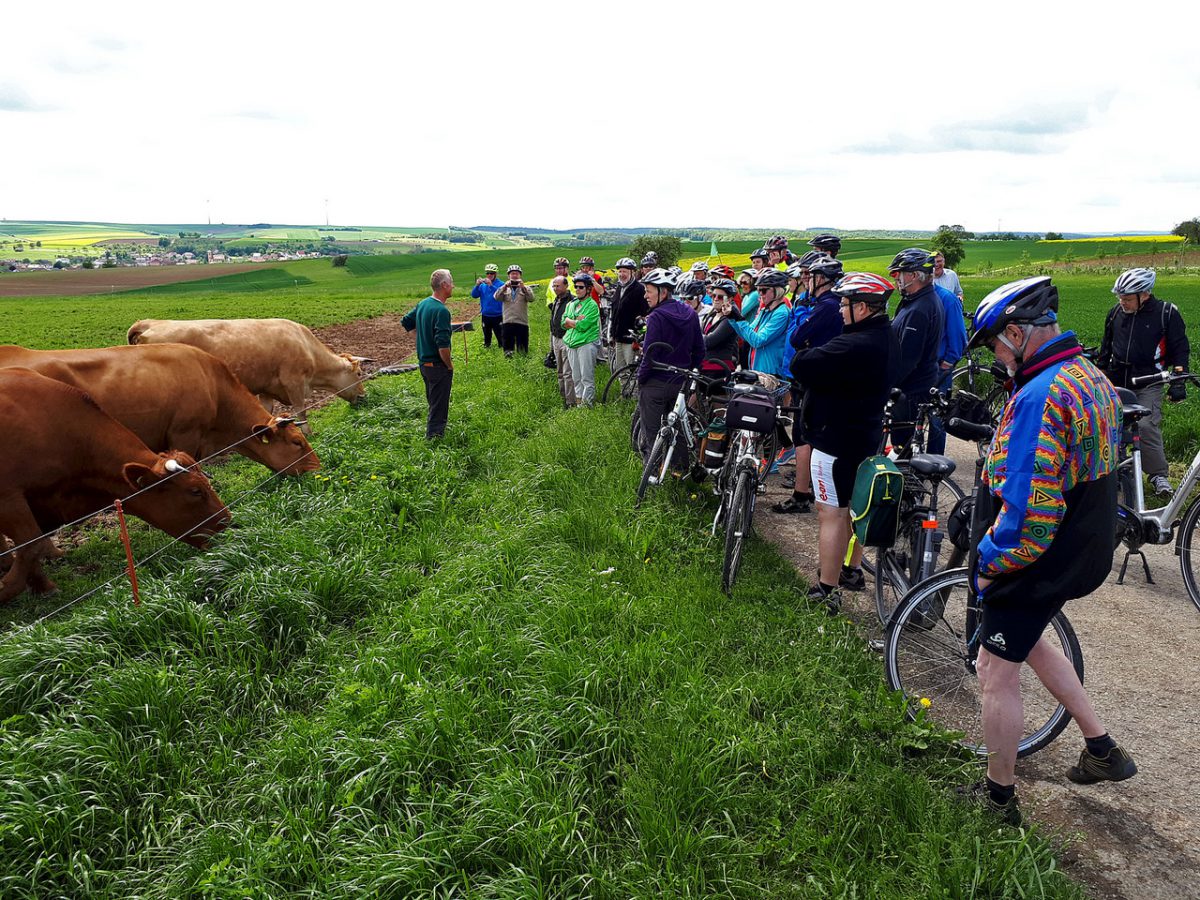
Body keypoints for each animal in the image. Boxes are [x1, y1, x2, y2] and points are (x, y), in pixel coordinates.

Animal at [0, 367, 231, 607]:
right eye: (196, 491)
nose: (229, 524)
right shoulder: (8, 498)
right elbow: (30, 544)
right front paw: (7, 589)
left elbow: (33, 545)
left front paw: (42, 586)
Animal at [126, 316, 369, 434]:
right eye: (359, 373)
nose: (364, 397)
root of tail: (149, 323)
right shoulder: (294, 382)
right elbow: (301, 410)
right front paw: (309, 433)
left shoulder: (267, 389)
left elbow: (267, 413)